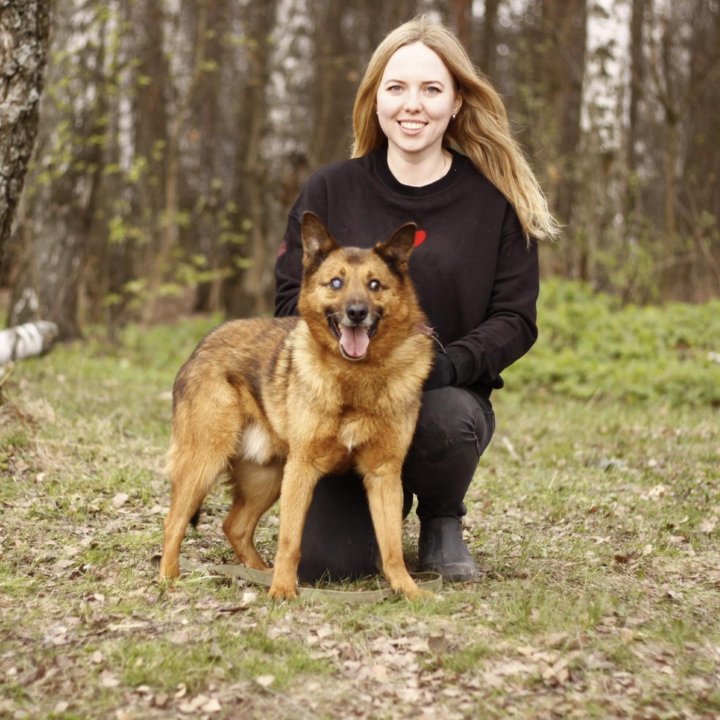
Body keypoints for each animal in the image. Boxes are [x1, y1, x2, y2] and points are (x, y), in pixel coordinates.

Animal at [159, 211, 434, 600]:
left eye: (375, 284)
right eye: (335, 282)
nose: (356, 312)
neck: (355, 378)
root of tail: (203, 344)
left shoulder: (383, 474)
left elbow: (392, 546)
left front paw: (407, 590)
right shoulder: (302, 468)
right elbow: (290, 540)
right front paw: (282, 591)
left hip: (268, 476)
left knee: (235, 526)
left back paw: (257, 571)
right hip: (207, 461)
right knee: (174, 521)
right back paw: (170, 578)